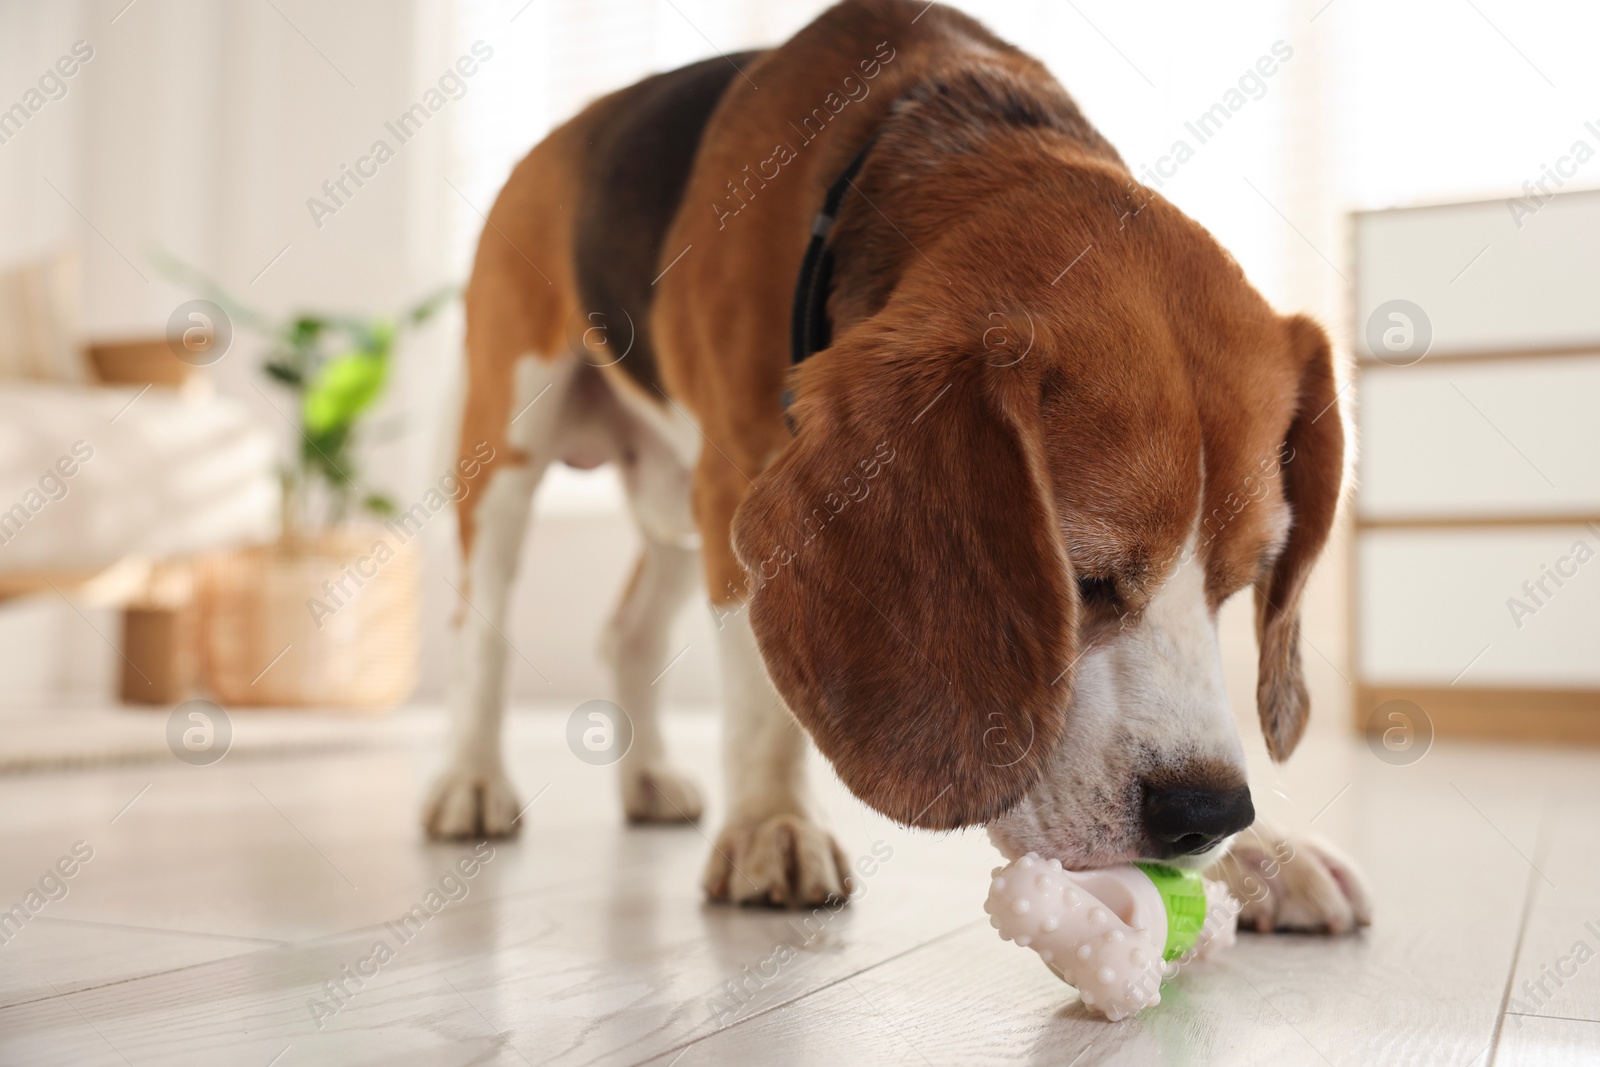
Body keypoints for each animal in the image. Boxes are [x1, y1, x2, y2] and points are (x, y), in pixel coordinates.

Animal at [428, 0, 1376, 934]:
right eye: (1081, 580)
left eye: (1236, 586)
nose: (1206, 814)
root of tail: (562, 133)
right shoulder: (739, 480)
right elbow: (759, 701)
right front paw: (773, 821)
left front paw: (1268, 853)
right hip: (513, 443)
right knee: (482, 624)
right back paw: (470, 778)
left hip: (673, 492)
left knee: (628, 631)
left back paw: (648, 777)